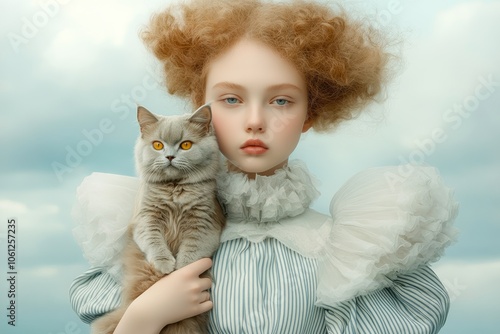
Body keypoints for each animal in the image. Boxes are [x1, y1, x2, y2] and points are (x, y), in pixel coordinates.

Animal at [93, 104, 226, 334]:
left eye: (185, 145)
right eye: (158, 145)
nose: (170, 157)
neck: (174, 190)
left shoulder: (204, 223)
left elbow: (190, 253)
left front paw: (180, 271)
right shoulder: (146, 219)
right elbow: (155, 242)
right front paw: (166, 266)